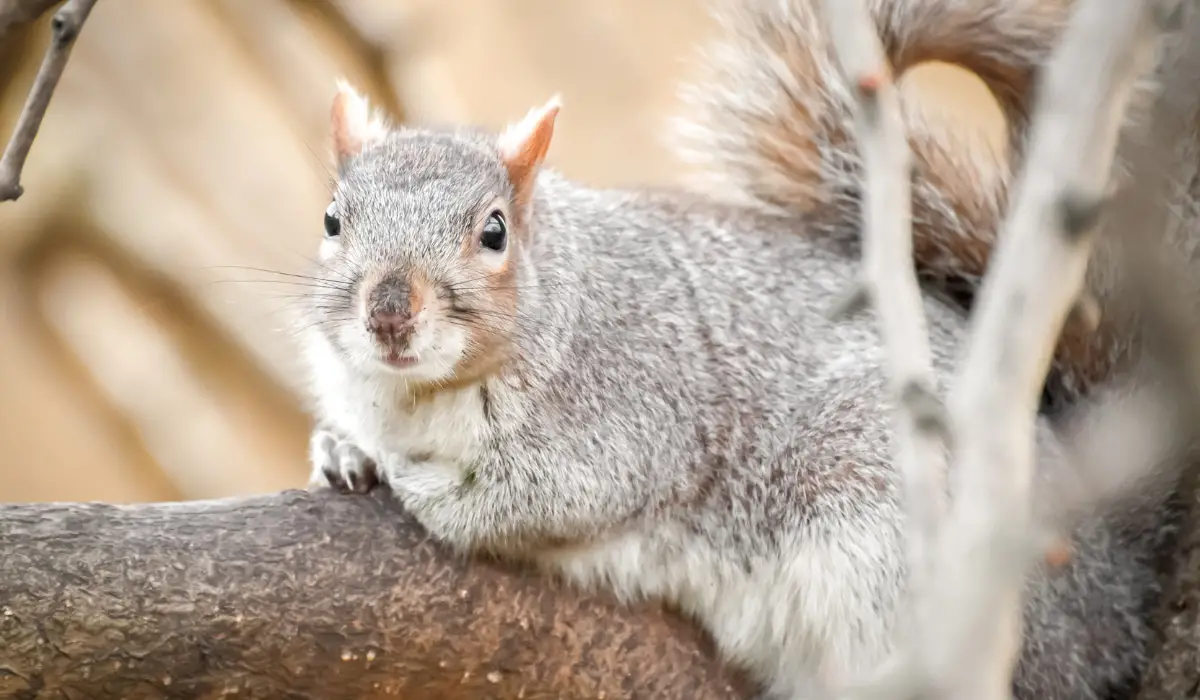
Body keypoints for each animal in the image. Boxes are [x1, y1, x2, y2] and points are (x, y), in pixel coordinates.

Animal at [299, 1, 1192, 698]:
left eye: (494, 232)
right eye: (332, 220)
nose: (388, 314)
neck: (417, 395)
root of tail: (1113, 588)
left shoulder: (628, 416)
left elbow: (531, 499)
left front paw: (416, 480)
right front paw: (343, 448)